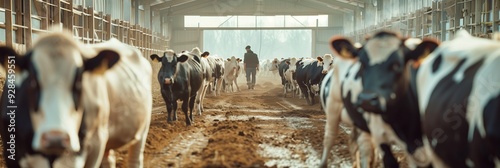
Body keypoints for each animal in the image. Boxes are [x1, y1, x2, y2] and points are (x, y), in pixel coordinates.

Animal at [318, 30, 440, 168]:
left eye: (397, 65)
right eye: (362, 63)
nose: (367, 99)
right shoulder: (380, 136)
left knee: (362, 145)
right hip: (332, 109)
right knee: (330, 137)